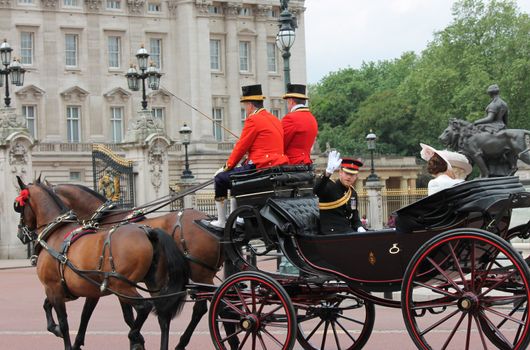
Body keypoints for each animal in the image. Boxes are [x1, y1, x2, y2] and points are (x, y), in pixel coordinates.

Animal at [14, 178, 190, 350]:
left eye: (18, 207)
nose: (20, 235)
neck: (56, 233)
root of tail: (148, 231)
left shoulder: (54, 288)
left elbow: (65, 323)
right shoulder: (77, 290)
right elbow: (68, 311)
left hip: (122, 285)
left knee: (145, 307)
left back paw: (135, 335)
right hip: (153, 283)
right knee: (163, 315)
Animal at [44, 180, 228, 350]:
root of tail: (210, 221)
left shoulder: (106, 282)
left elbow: (97, 314)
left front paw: (135, 339)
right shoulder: (103, 283)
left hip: (200, 274)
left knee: (206, 306)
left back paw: (184, 343)